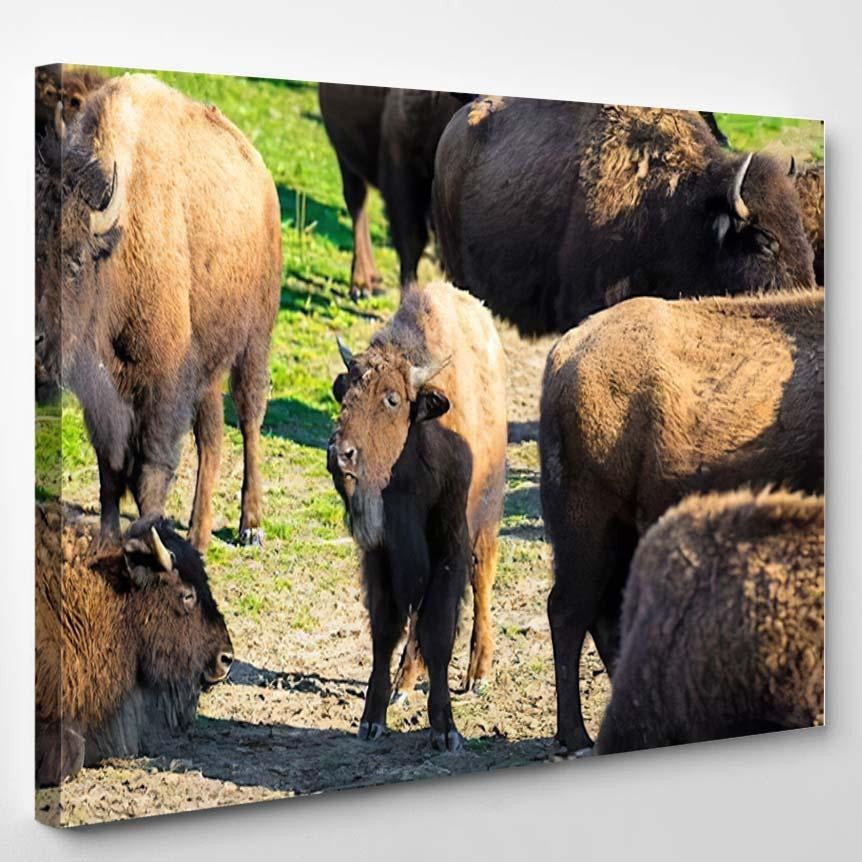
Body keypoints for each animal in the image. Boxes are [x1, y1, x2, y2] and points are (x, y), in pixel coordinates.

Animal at [35, 74, 282, 550]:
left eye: (75, 261)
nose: (36, 341)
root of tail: (262, 177)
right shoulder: (103, 394)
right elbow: (110, 470)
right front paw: (107, 543)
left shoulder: (162, 383)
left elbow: (151, 470)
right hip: (207, 365)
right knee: (212, 438)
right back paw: (199, 534)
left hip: (253, 343)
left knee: (249, 420)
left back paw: (250, 526)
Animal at [327, 282, 507, 750]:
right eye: (345, 394)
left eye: (392, 399)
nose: (340, 454)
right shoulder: (382, 553)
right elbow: (386, 629)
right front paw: (372, 719)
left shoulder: (449, 544)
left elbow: (439, 629)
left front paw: (445, 729)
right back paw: (405, 683)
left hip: (486, 520)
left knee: (481, 581)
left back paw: (478, 673)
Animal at [540, 288, 824, 751]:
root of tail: (566, 353)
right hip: (587, 525)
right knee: (567, 611)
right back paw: (576, 736)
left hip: (622, 533)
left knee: (604, 614)